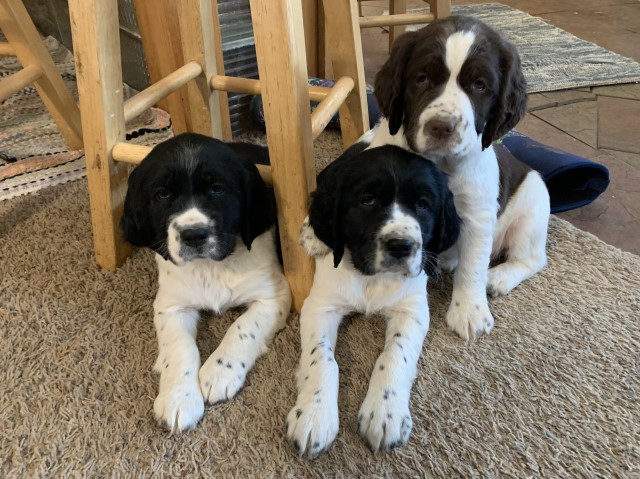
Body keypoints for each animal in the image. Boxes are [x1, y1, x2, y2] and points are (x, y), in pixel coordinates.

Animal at [120, 133, 290, 434]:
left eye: (217, 189)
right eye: (162, 194)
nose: (194, 234)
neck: (210, 267)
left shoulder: (274, 296)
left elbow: (242, 327)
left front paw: (220, 372)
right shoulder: (171, 305)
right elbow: (180, 347)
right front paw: (179, 399)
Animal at [286, 145, 460, 458]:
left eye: (423, 205)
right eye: (367, 200)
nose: (401, 246)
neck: (371, 277)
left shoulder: (412, 310)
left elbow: (394, 354)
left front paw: (385, 414)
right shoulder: (320, 306)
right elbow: (322, 359)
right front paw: (314, 415)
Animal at [364, 15, 552, 342]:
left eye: (479, 85)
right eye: (421, 78)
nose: (442, 127)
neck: (440, 164)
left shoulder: (477, 215)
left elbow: (472, 267)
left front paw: (469, 312)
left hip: (532, 210)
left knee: (531, 258)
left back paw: (498, 277)